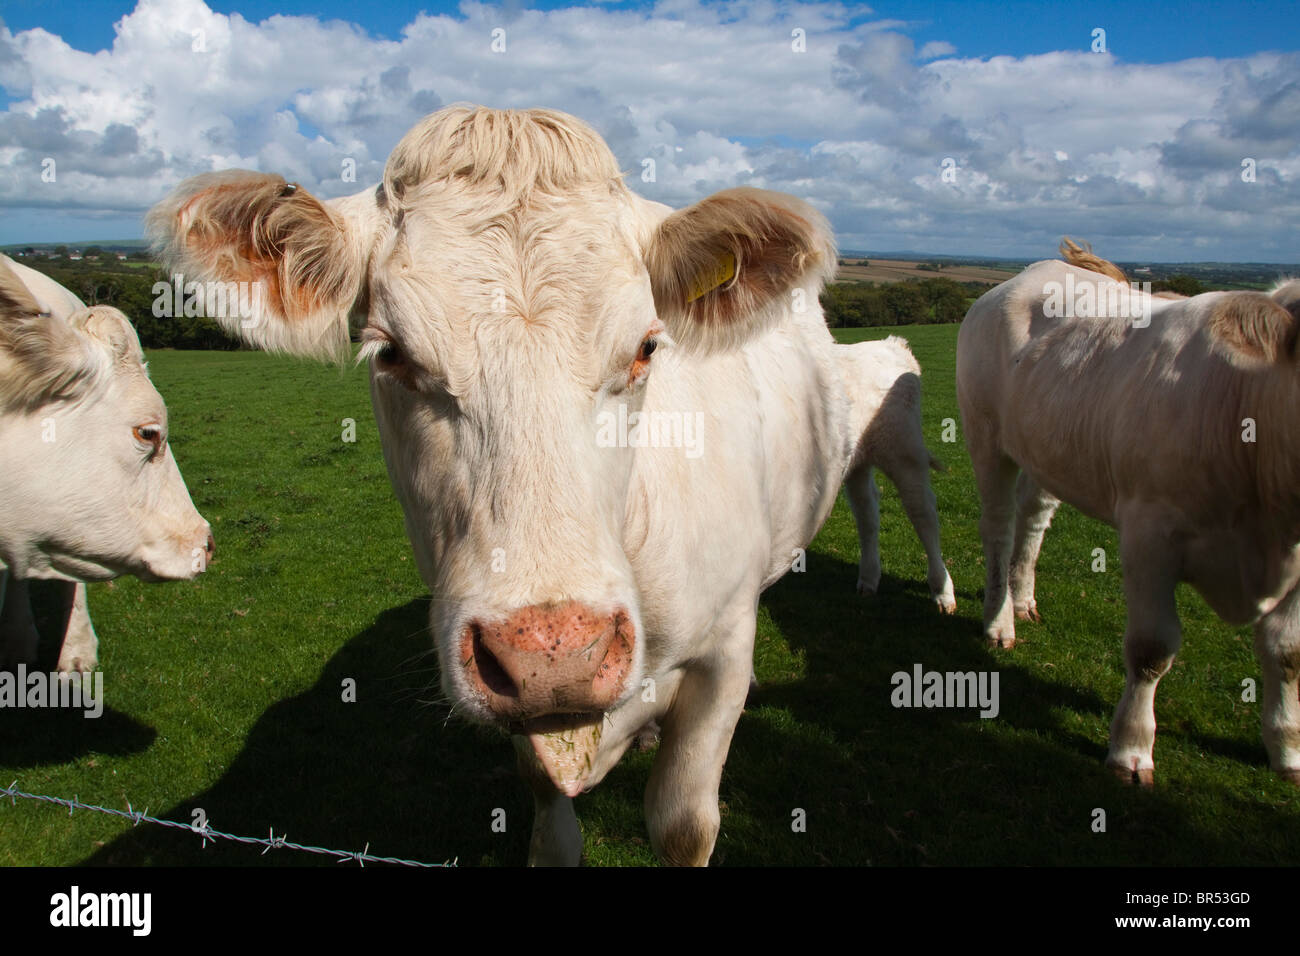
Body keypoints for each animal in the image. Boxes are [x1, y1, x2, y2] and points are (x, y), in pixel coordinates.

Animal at [147, 106, 956, 868]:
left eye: (647, 347)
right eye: (391, 353)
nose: (555, 656)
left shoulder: (723, 651)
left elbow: (684, 824)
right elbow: (551, 830)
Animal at [956, 244, 1300, 785]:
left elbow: (1287, 652)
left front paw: (1287, 750)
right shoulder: (1149, 535)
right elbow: (1151, 648)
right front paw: (1131, 749)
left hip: (1049, 446)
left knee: (1032, 521)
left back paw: (1022, 597)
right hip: (987, 436)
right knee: (998, 528)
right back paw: (999, 621)